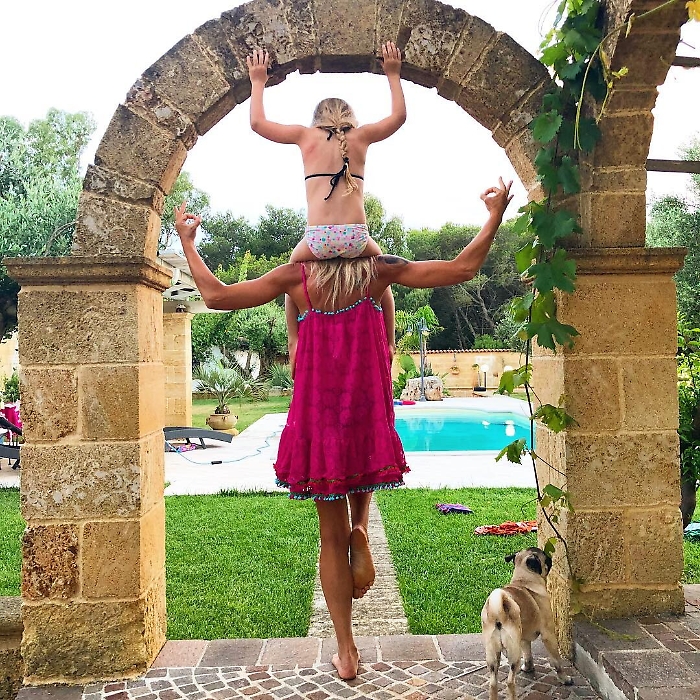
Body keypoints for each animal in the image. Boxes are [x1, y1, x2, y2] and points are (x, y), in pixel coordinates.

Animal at [481, 547, 573, 700]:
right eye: (545, 557)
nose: (550, 557)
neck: (523, 580)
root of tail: (497, 611)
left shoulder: (523, 639)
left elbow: (528, 654)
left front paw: (529, 668)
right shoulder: (548, 634)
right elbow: (557, 661)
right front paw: (564, 678)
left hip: (493, 654)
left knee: (493, 683)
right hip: (513, 652)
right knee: (510, 681)